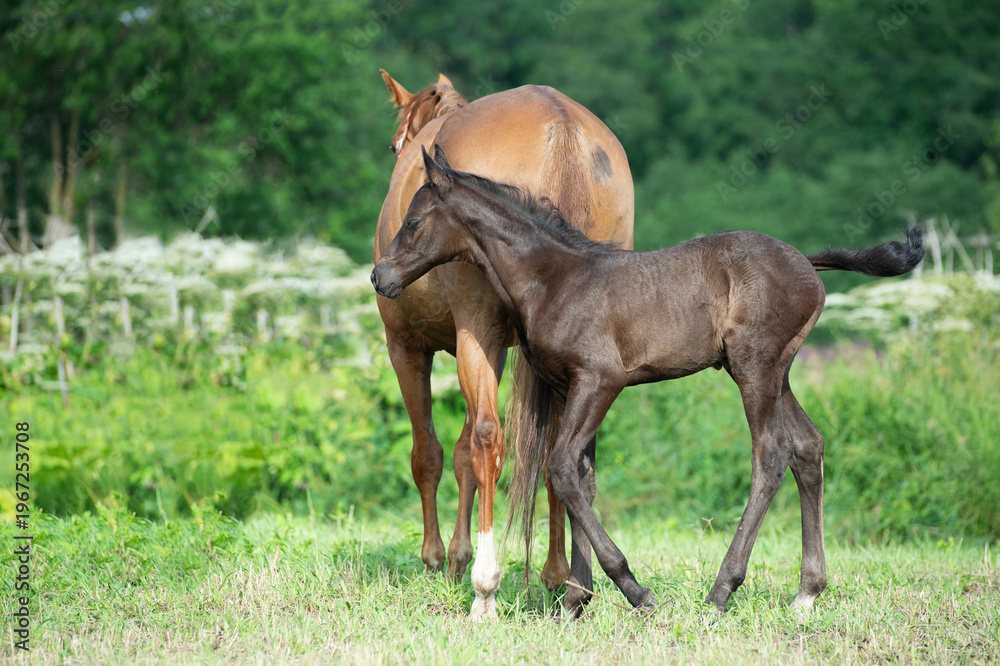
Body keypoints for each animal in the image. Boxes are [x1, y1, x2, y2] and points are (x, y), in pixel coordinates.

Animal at [371, 145, 925, 618]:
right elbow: (581, 477)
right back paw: (807, 592)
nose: (380, 277)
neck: (553, 279)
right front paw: (575, 600)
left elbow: (562, 469)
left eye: (414, 221)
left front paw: (633, 590)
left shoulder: (601, 380)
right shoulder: (569, 387)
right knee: (809, 447)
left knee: (771, 454)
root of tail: (806, 263)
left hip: (756, 368)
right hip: (776, 371)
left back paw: (722, 590)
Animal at [373, 70, 635, 620]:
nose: (381, 276)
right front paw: (456, 556)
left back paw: (486, 587)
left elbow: (433, 453)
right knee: (564, 454)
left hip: (473, 332)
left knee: (489, 440)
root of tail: (563, 128)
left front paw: (439, 559)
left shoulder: (409, 346)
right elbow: (463, 457)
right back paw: (563, 581)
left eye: (394, 144)